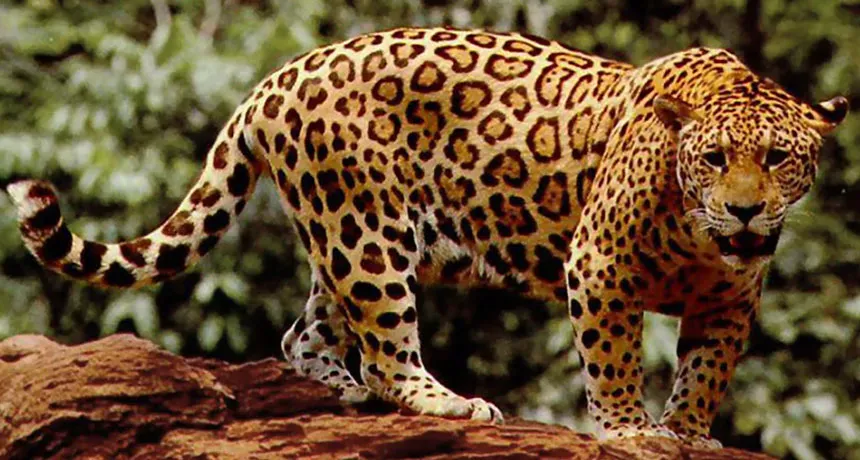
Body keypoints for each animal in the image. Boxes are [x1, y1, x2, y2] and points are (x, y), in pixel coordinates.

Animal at [6, 27, 848, 447]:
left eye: (777, 158)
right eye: (714, 159)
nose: (745, 211)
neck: (699, 234)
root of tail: (275, 79)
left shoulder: (730, 299)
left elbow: (706, 371)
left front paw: (690, 432)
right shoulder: (598, 264)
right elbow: (612, 359)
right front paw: (630, 432)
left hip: (345, 236)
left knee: (306, 332)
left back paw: (341, 393)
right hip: (367, 234)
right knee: (385, 347)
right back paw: (445, 403)